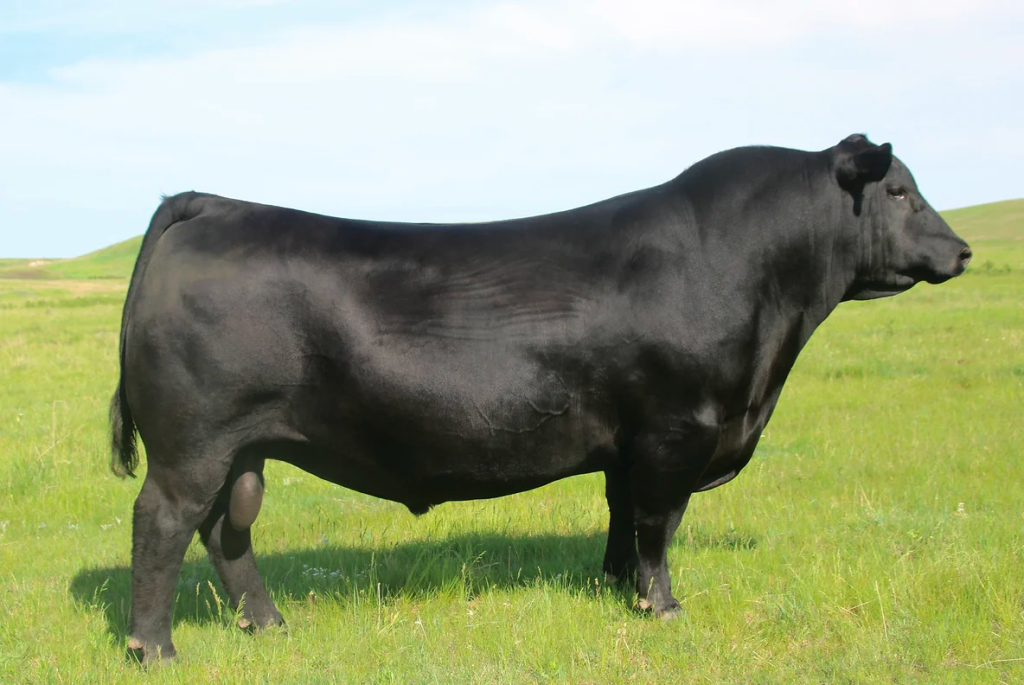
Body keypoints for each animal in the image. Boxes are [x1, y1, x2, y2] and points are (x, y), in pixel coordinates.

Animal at [110, 134, 971, 662]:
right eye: (900, 191)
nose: (962, 249)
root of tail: (214, 202)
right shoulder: (676, 429)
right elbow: (659, 525)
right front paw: (663, 608)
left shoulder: (629, 444)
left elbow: (624, 520)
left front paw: (617, 589)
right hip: (192, 443)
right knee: (163, 524)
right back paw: (155, 647)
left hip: (242, 449)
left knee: (227, 532)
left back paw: (270, 625)